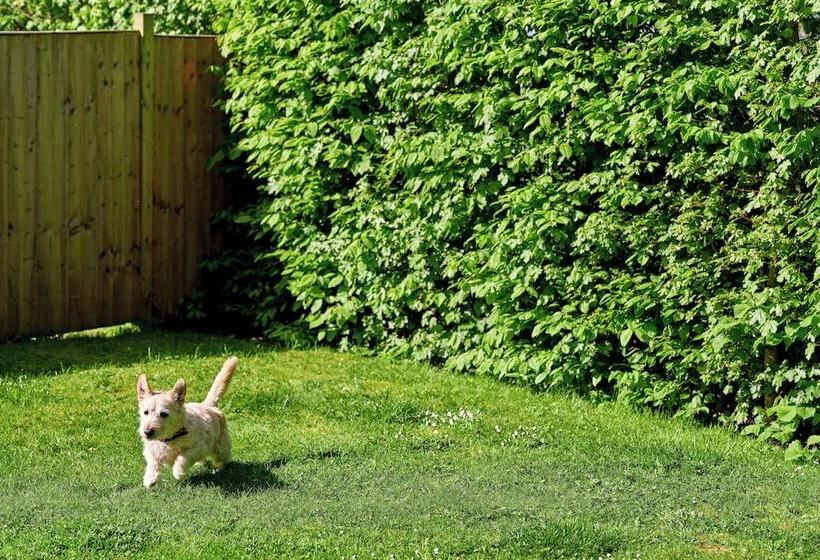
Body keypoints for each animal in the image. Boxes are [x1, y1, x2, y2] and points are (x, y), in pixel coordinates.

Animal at [136, 358, 239, 486]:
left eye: (163, 414)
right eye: (145, 412)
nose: (147, 432)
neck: (169, 439)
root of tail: (207, 405)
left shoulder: (197, 448)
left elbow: (183, 457)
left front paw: (178, 472)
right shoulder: (151, 451)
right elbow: (152, 463)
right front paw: (150, 478)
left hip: (221, 448)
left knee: (222, 458)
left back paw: (219, 468)